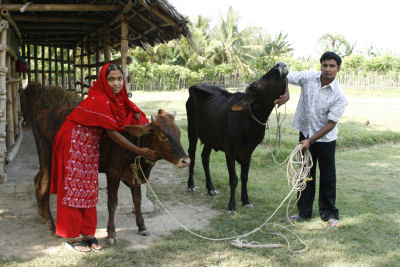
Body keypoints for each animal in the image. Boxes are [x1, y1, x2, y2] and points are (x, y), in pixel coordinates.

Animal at [32, 107, 189, 243]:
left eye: (179, 134)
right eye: (163, 136)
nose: (186, 160)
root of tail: (40, 114)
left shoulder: (134, 176)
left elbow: (137, 201)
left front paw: (142, 227)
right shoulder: (113, 173)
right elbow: (113, 203)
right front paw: (111, 233)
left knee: (36, 180)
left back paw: (42, 216)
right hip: (48, 158)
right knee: (43, 184)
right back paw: (51, 225)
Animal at [186, 62, 290, 214]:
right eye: (254, 86)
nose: (279, 65)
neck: (248, 122)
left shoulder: (248, 152)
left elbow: (245, 177)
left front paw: (246, 201)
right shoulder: (230, 151)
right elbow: (233, 179)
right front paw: (231, 206)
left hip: (210, 138)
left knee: (205, 157)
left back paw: (210, 188)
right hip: (192, 130)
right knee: (192, 155)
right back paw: (191, 185)